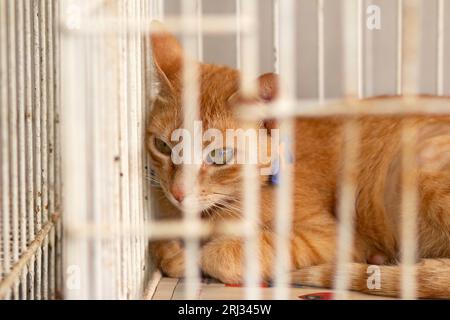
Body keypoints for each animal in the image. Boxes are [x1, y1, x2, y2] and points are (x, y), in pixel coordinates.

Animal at [149, 21, 450, 298]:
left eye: (219, 155)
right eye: (162, 146)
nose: (178, 193)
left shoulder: (334, 238)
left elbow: (228, 252)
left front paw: (193, 255)